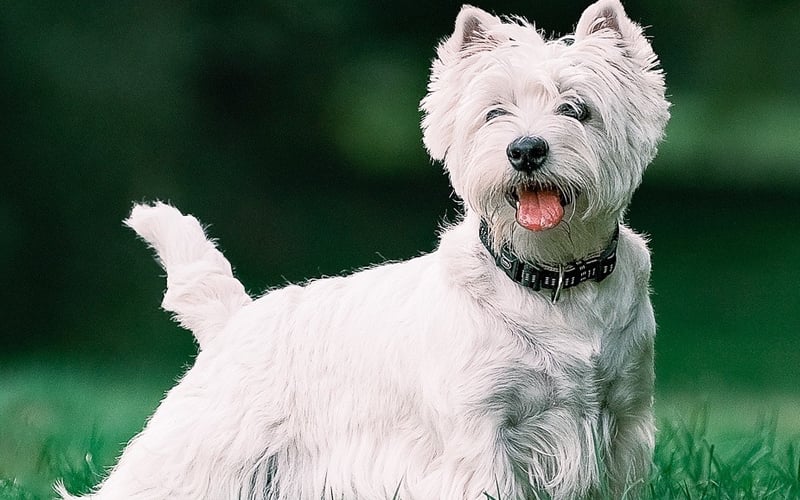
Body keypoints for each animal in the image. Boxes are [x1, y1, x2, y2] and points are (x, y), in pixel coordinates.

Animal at [59, 1, 668, 498]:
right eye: (494, 112)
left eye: (577, 108)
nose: (525, 150)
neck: (552, 279)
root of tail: (236, 319)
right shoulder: (480, 433)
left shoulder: (623, 423)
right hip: (198, 454)